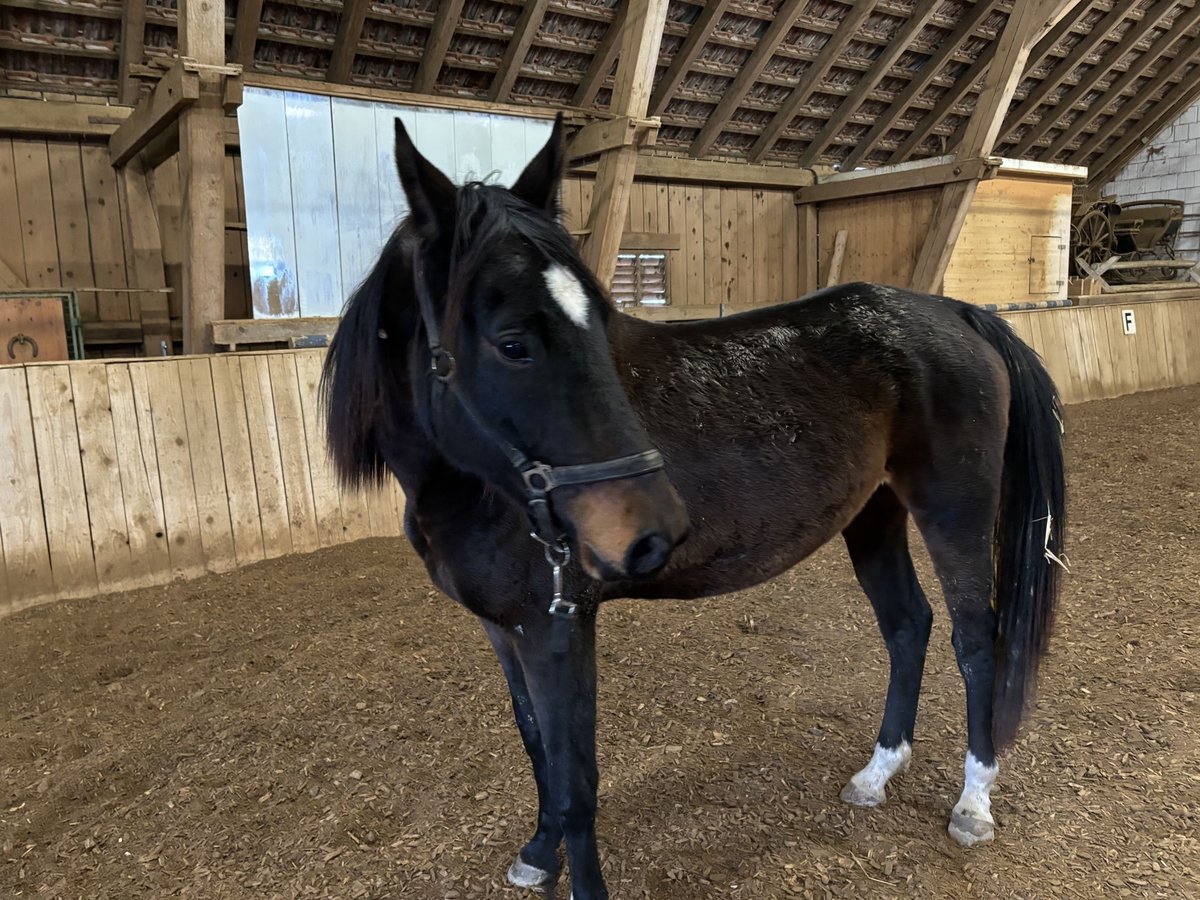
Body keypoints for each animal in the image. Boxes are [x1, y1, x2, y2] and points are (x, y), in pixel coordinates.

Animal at [321, 114, 1070, 900]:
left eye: (597, 324)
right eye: (512, 343)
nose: (655, 529)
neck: (475, 488)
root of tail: (955, 310)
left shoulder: (560, 625)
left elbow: (576, 780)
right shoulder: (505, 629)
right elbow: (538, 752)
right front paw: (538, 854)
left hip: (954, 509)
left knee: (975, 639)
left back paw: (973, 802)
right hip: (874, 515)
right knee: (907, 627)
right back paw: (876, 774)